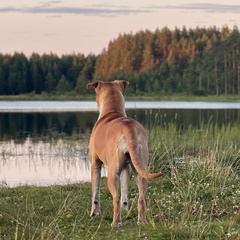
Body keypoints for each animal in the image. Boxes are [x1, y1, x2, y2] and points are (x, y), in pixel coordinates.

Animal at [86, 80, 163, 227]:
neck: (113, 112)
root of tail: (128, 127)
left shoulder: (95, 163)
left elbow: (95, 193)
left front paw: (94, 212)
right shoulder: (126, 167)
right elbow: (125, 192)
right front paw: (125, 208)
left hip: (112, 172)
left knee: (115, 198)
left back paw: (116, 223)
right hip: (140, 166)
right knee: (141, 197)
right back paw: (141, 221)